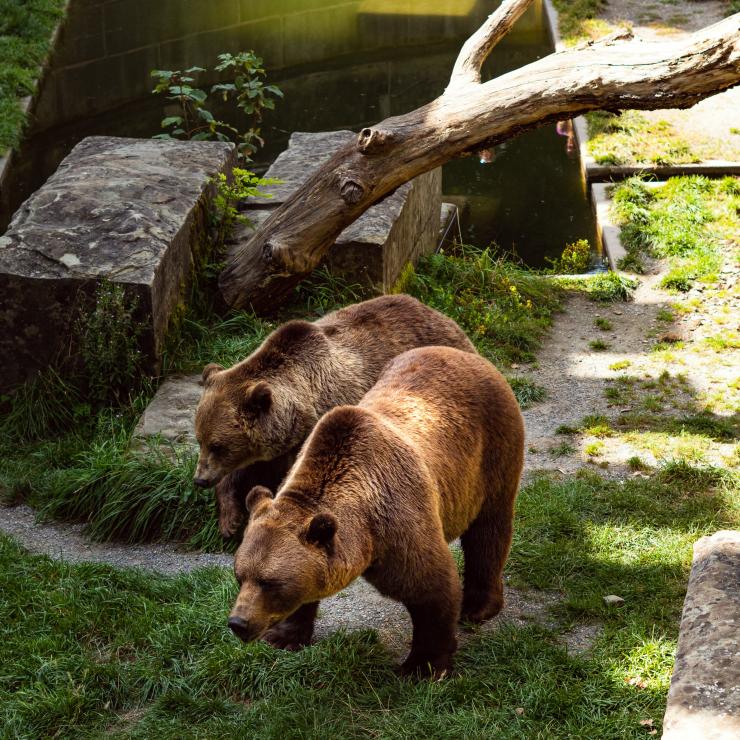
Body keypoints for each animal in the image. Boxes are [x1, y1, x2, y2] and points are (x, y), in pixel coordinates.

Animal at [194, 294, 475, 538]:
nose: (199, 479)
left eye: (218, 445)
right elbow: (240, 473)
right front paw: (230, 521)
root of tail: (441, 315)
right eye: (200, 440)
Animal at [227, 345, 525, 677]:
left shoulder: (400, 524)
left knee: (488, 529)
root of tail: (468, 355)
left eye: (270, 582)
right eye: (240, 575)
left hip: (493, 451)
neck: (365, 529)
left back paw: (478, 606)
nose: (238, 623)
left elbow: (433, 588)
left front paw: (422, 666)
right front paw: (283, 635)